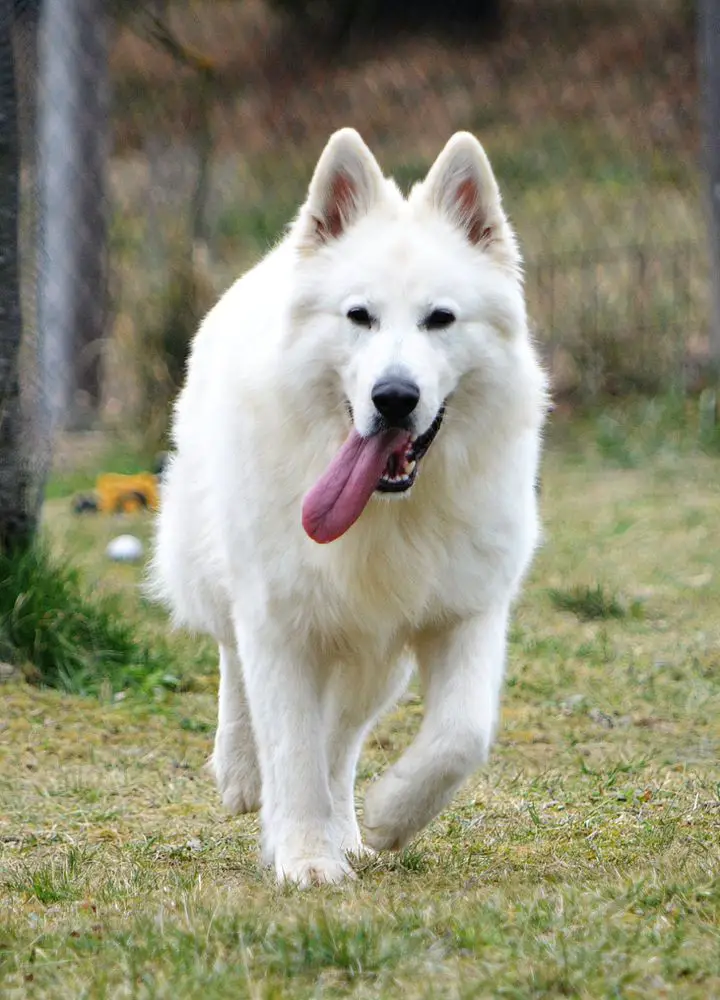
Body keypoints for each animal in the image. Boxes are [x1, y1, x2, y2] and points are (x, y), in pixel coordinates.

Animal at [150, 128, 547, 886]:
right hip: (215, 572)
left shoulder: (467, 612)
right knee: (235, 665)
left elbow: (460, 734)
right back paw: (244, 774)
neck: (386, 514)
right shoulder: (279, 625)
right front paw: (306, 858)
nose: (394, 397)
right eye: (359, 317)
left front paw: (391, 814)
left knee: (340, 738)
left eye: (440, 319)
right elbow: (292, 749)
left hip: (377, 661)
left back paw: (348, 825)